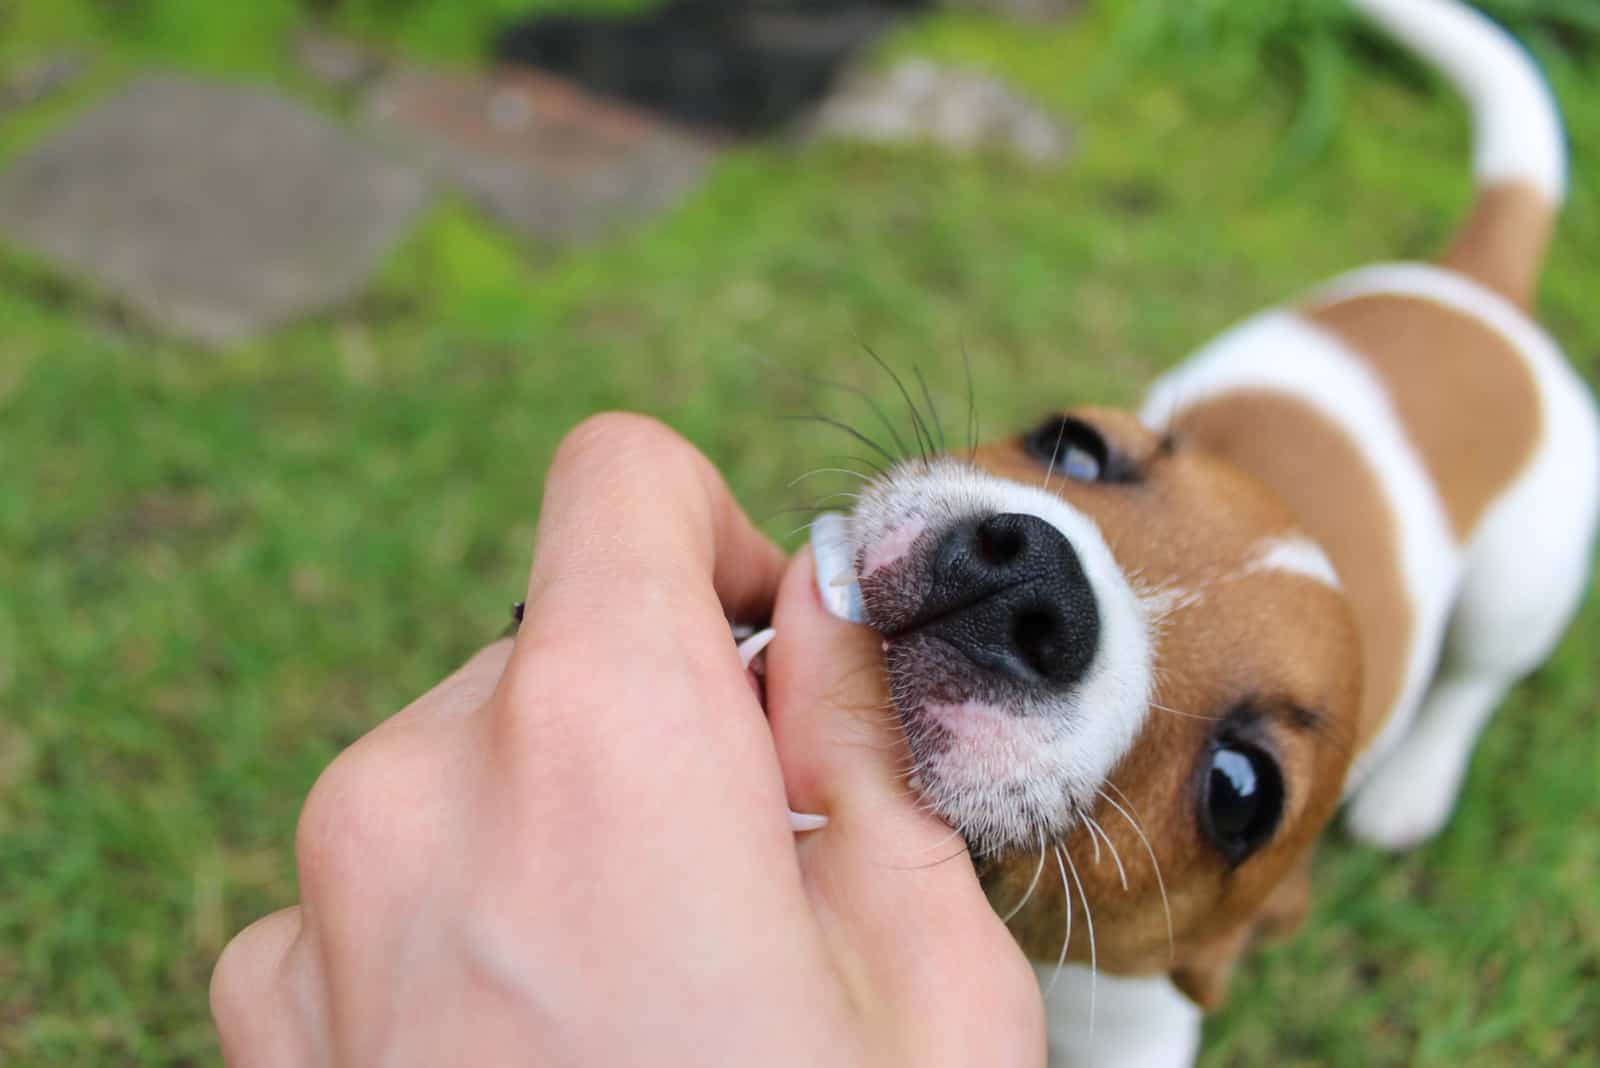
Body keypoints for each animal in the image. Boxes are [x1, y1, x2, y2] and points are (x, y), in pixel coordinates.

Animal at [812, 0, 1600, 1061]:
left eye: (1239, 792)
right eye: (1076, 448)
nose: (1034, 583)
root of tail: (1484, 294)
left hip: (1520, 583)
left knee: (1476, 678)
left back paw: (1414, 786)